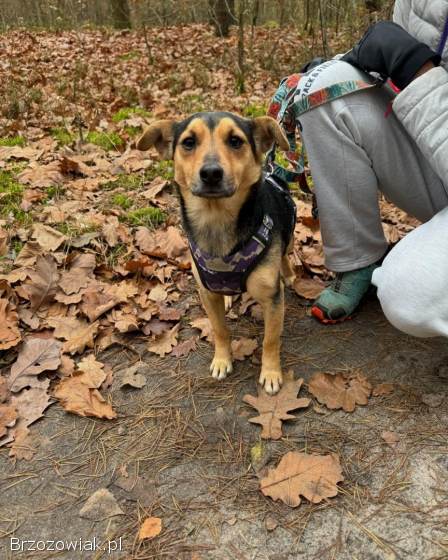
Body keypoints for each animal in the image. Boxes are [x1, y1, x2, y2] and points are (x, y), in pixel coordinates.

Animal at [136, 112, 298, 394]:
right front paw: (222, 360)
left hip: (287, 234)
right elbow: (220, 329)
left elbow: (271, 339)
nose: (211, 173)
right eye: (188, 142)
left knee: (285, 253)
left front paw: (270, 373)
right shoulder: (207, 293)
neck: (216, 219)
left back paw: (287, 274)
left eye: (235, 141)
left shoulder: (272, 299)